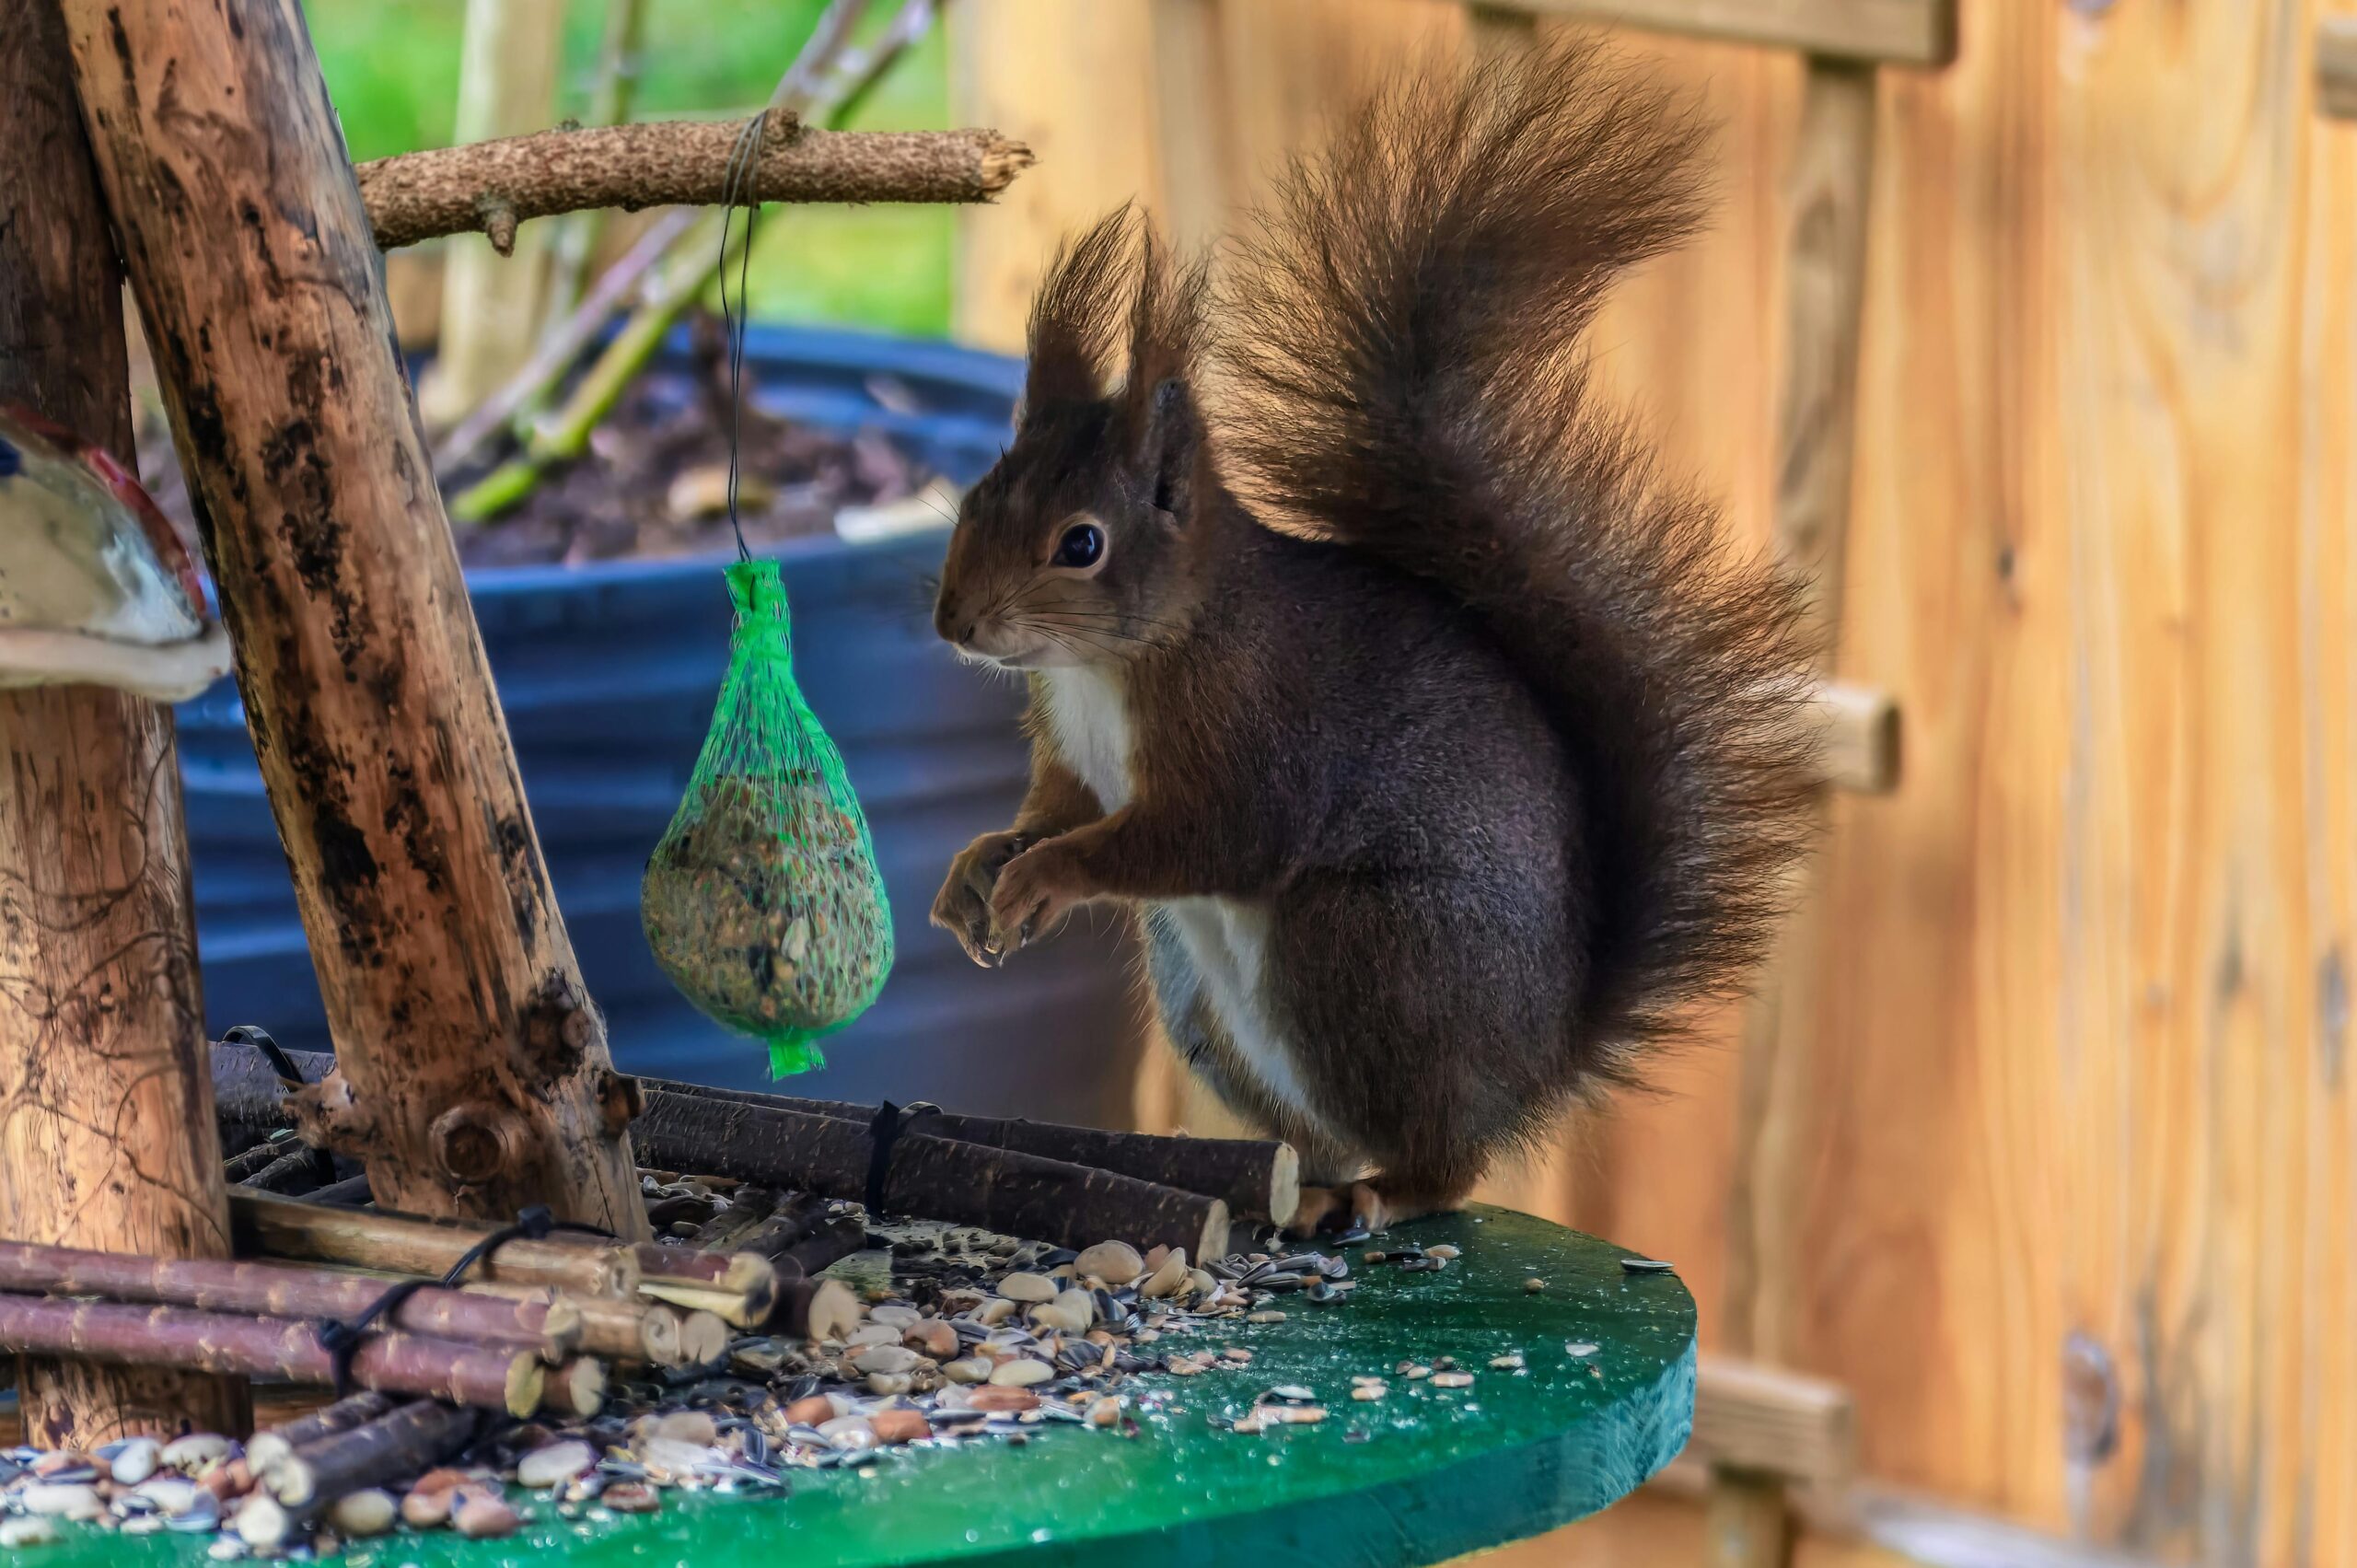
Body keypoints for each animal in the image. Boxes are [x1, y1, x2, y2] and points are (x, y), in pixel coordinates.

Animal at [928, 40, 1821, 1233]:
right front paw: (980, 866)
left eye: (1081, 543)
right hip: (1197, 998)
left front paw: (1045, 875)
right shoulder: (1071, 748)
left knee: (1445, 1164)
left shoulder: (1253, 727)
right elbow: (1059, 805)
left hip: (1362, 953)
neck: (1104, 666)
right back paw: (1307, 1189)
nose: (957, 622)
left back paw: (1382, 1191)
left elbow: (1205, 835)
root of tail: (1533, 1069)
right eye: (978, 493)